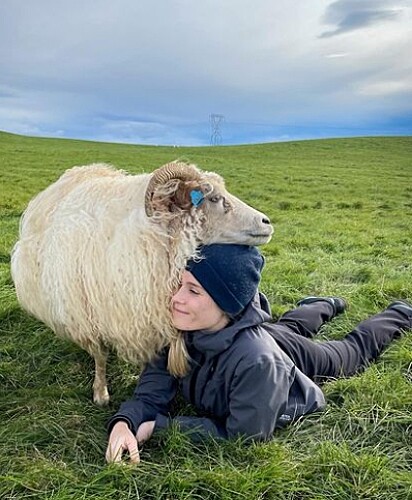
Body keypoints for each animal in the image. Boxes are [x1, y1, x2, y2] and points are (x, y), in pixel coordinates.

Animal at [10, 162, 274, 404]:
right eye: (214, 198)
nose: (266, 222)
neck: (152, 237)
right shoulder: (88, 315)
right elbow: (100, 355)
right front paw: (101, 392)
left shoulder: (146, 319)